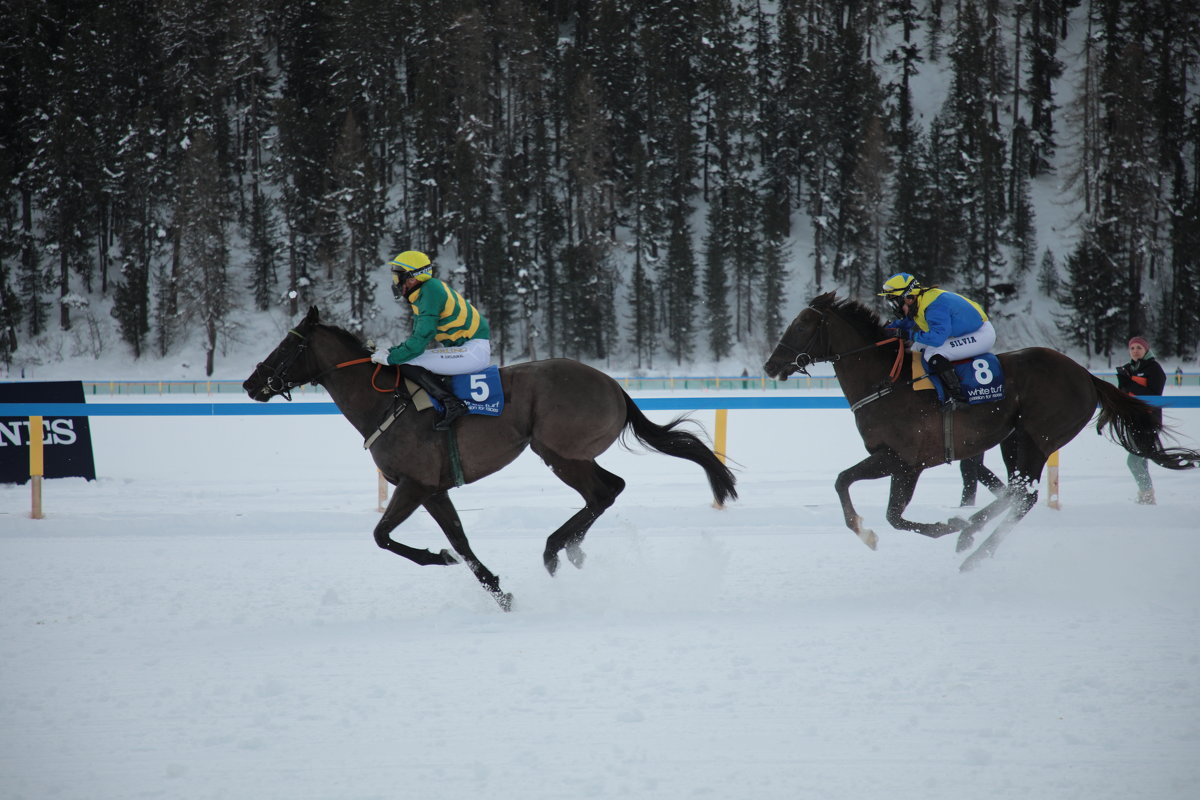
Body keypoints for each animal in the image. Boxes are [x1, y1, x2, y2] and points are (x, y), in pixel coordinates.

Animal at [243, 304, 734, 606]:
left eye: (287, 346)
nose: (251, 383)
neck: (384, 403)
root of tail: (613, 384)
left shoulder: (414, 484)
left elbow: (382, 536)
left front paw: (438, 558)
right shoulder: (433, 488)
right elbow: (460, 540)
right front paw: (498, 591)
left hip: (558, 451)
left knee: (604, 492)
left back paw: (556, 549)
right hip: (569, 454)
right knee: (608, 489)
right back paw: (571, 548)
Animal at [768, 291, 1200, 573]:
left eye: (802, 324)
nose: (771, 365)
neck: (886, 381)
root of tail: (1086, 376)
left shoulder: (905, 462)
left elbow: (889, 512)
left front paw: (942, 527)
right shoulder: (888, 458)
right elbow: (844, 483)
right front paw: (866, 533)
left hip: (1038, 436)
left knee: (1024, 493)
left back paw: (971, 545)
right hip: (1014, 438)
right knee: (1015, 490)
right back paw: (972, 536)